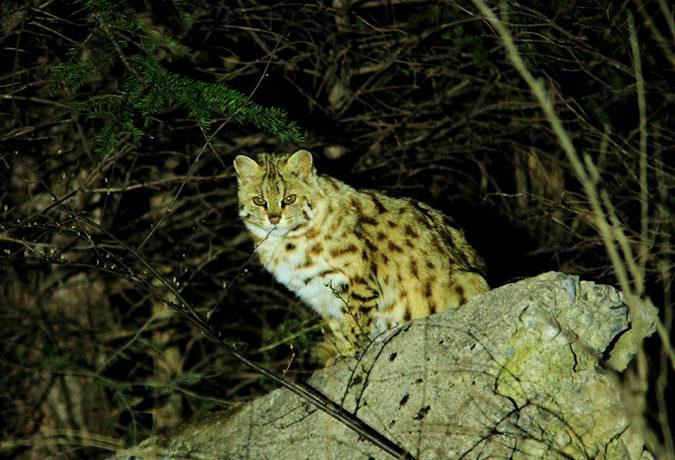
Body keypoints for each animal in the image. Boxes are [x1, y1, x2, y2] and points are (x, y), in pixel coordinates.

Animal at [235, 150, 488, 362]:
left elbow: (355, 324)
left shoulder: (356, 282)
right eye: (259, 200)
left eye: (289, 199)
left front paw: (354, 354)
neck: (286, 242)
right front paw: (343, 354)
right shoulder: (319, 296)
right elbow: (339, 328)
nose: (274, 218)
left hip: (468, 280)